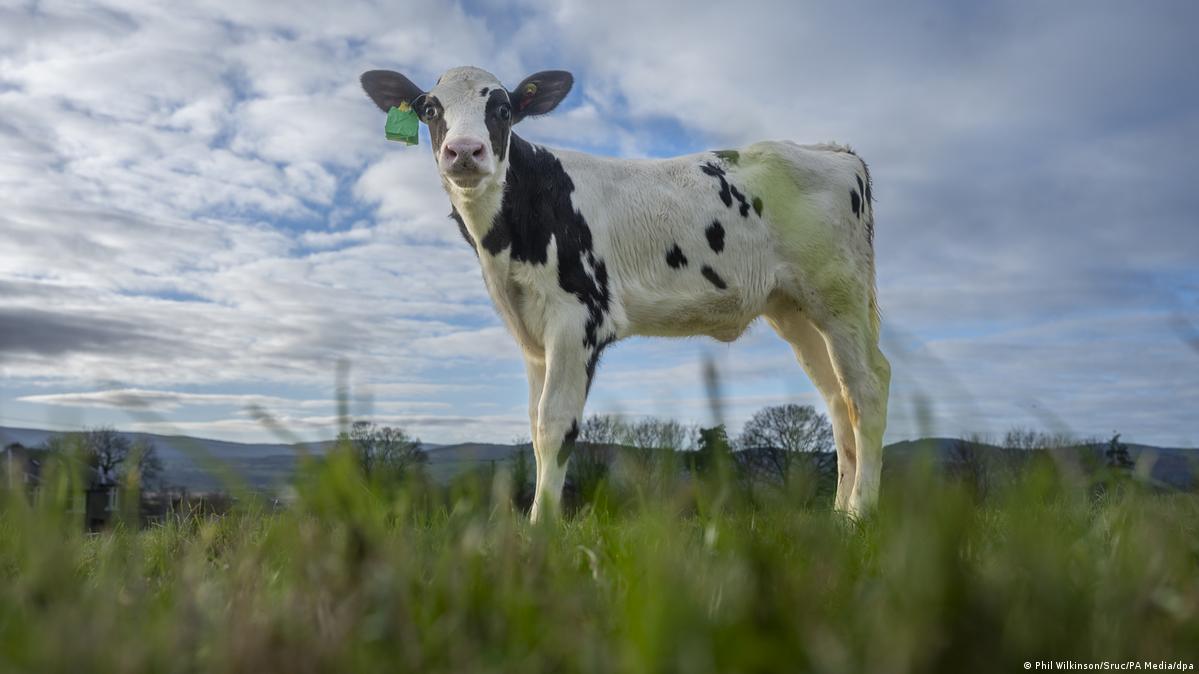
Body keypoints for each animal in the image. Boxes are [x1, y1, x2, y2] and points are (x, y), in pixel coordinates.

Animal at [360, 66, 890, 521]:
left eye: (504, 109)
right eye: (430, 108)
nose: (465, 151)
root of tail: (833, 151)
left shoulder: (578, 320)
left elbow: (555, 425)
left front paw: (540, 532)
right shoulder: (532, 337)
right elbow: (533, 425)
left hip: (839, 292)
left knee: (868, 385)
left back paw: (861, 514)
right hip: (794, 308)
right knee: (838, 397)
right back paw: (837, 517)